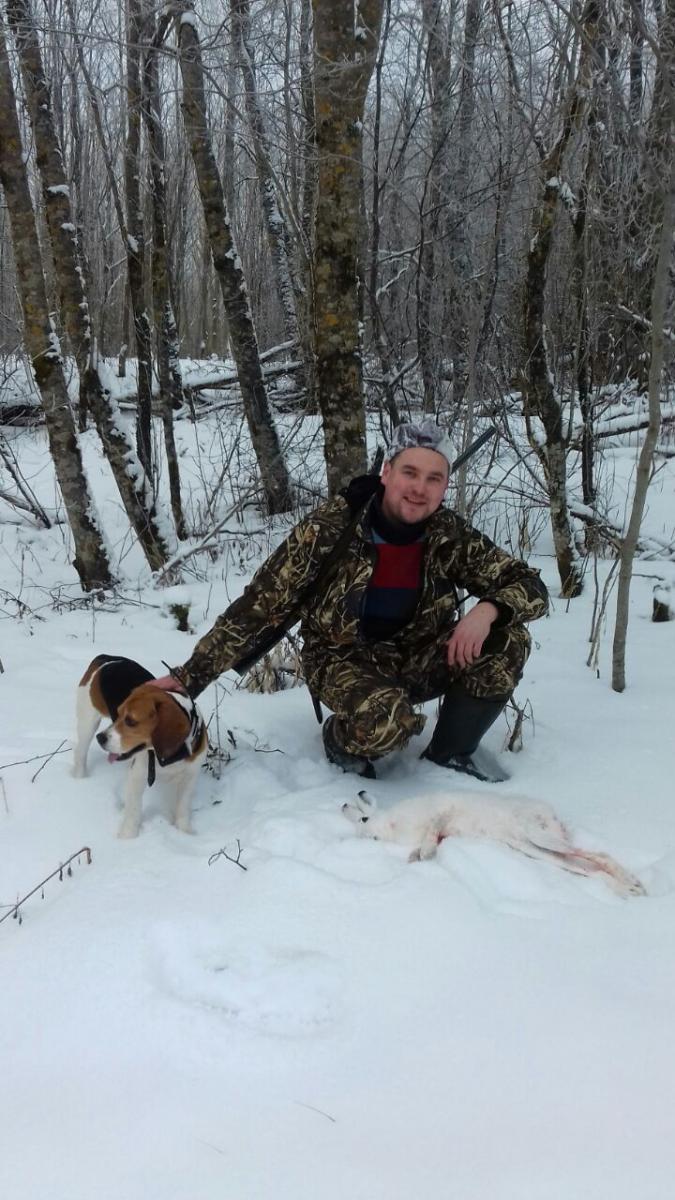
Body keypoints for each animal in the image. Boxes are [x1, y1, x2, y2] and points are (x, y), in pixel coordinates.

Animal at [73, 654, 207, 838]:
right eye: (118, 713)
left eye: (130, 721)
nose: (100, 738)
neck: (169, 756)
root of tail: (106, 658)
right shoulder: (139, 775)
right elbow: (133, 811)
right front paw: (127, 838)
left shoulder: (190, 777)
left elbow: (182, 808)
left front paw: (184, 832)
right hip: (87, 722)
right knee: (80, 753)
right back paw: (80, 779)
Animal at [343, 790, 646, 897]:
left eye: (364, 818)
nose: (344, 804)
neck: (393, 824)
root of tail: (553, 816)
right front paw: (415, 858)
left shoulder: (441, 813)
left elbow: (433, 831)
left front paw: (425, 854)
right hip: (534, 850)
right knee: (587, 868)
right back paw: (626, 889)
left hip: (537, 836)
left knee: (598, 854)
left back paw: (633, 883)